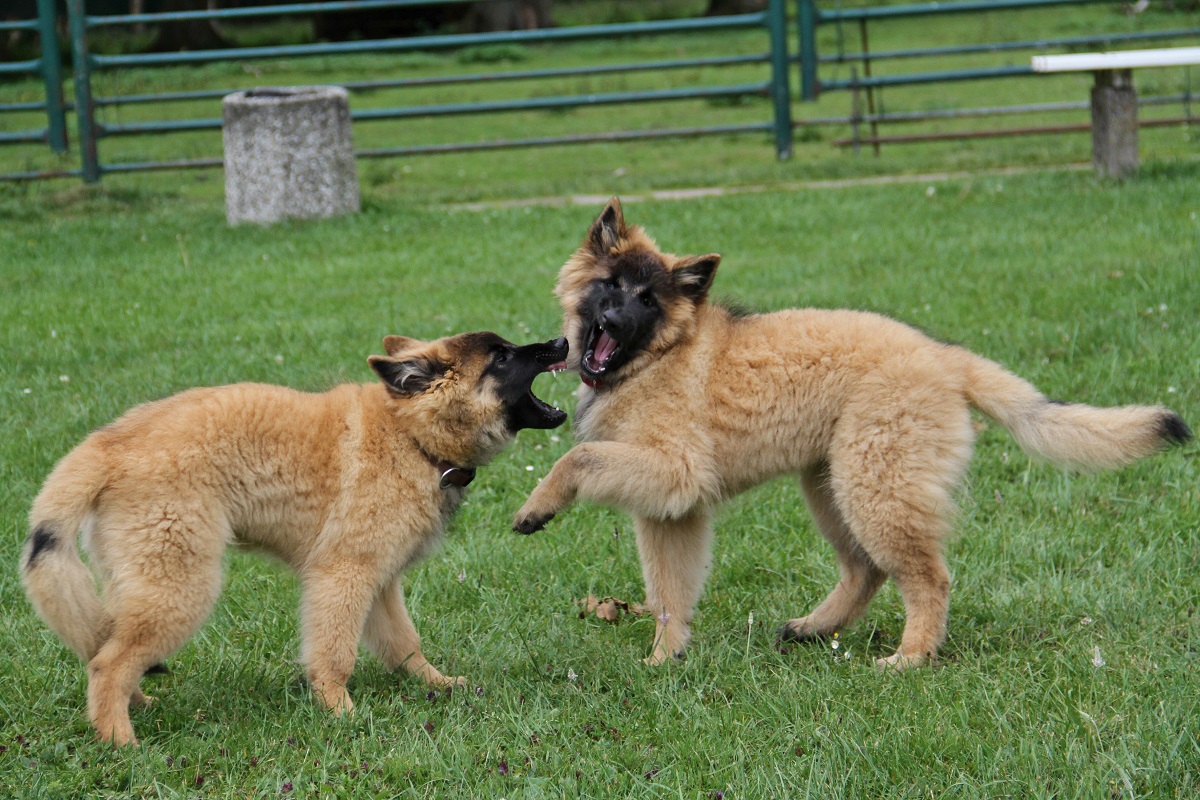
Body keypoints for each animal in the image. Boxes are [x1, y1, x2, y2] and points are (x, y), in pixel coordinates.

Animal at [23, 331, 566, 743]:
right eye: (501, 356)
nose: (562, 341)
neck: (410, 436)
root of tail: (107, 446)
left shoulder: (378, 581)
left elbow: (405, 643)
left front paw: (436, 684)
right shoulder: (342, 575)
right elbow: (336, 651)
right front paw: (340, 711)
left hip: (142, 578)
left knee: (105, 647)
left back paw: (134, 707)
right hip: (181, 584)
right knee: (108, 663)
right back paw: (120, 741)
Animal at [513, 199, 1190, 671]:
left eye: (648, 300)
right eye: (610, 286)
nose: (614, 319)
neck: (657, 356)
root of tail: (945, 358)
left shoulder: (674, 470)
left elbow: (579, 458)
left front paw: (538, 506)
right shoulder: (673, 510)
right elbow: (669, 591)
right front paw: (665, 657)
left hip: (873, 483)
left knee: (927, 577)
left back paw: (911, 657)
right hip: (834, 483)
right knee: (867, 570)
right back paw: (816, 629)